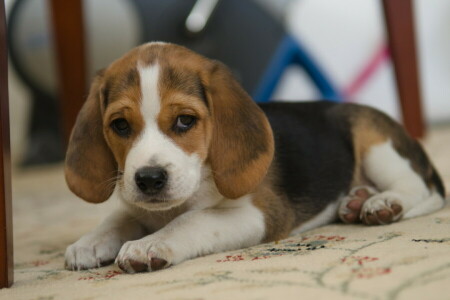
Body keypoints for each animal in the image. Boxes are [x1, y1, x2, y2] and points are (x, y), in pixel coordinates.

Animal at [64, 42, 446, 274]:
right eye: (120, 125)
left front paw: (149, 244)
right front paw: (90, 242)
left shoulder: (260, 213)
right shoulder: (138, 204)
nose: (149, 179)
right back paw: (356, 201)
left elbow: (192, 220)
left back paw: (383, 203)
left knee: (418, 187)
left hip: (374, 141)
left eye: (185, 120)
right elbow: (120, 216)